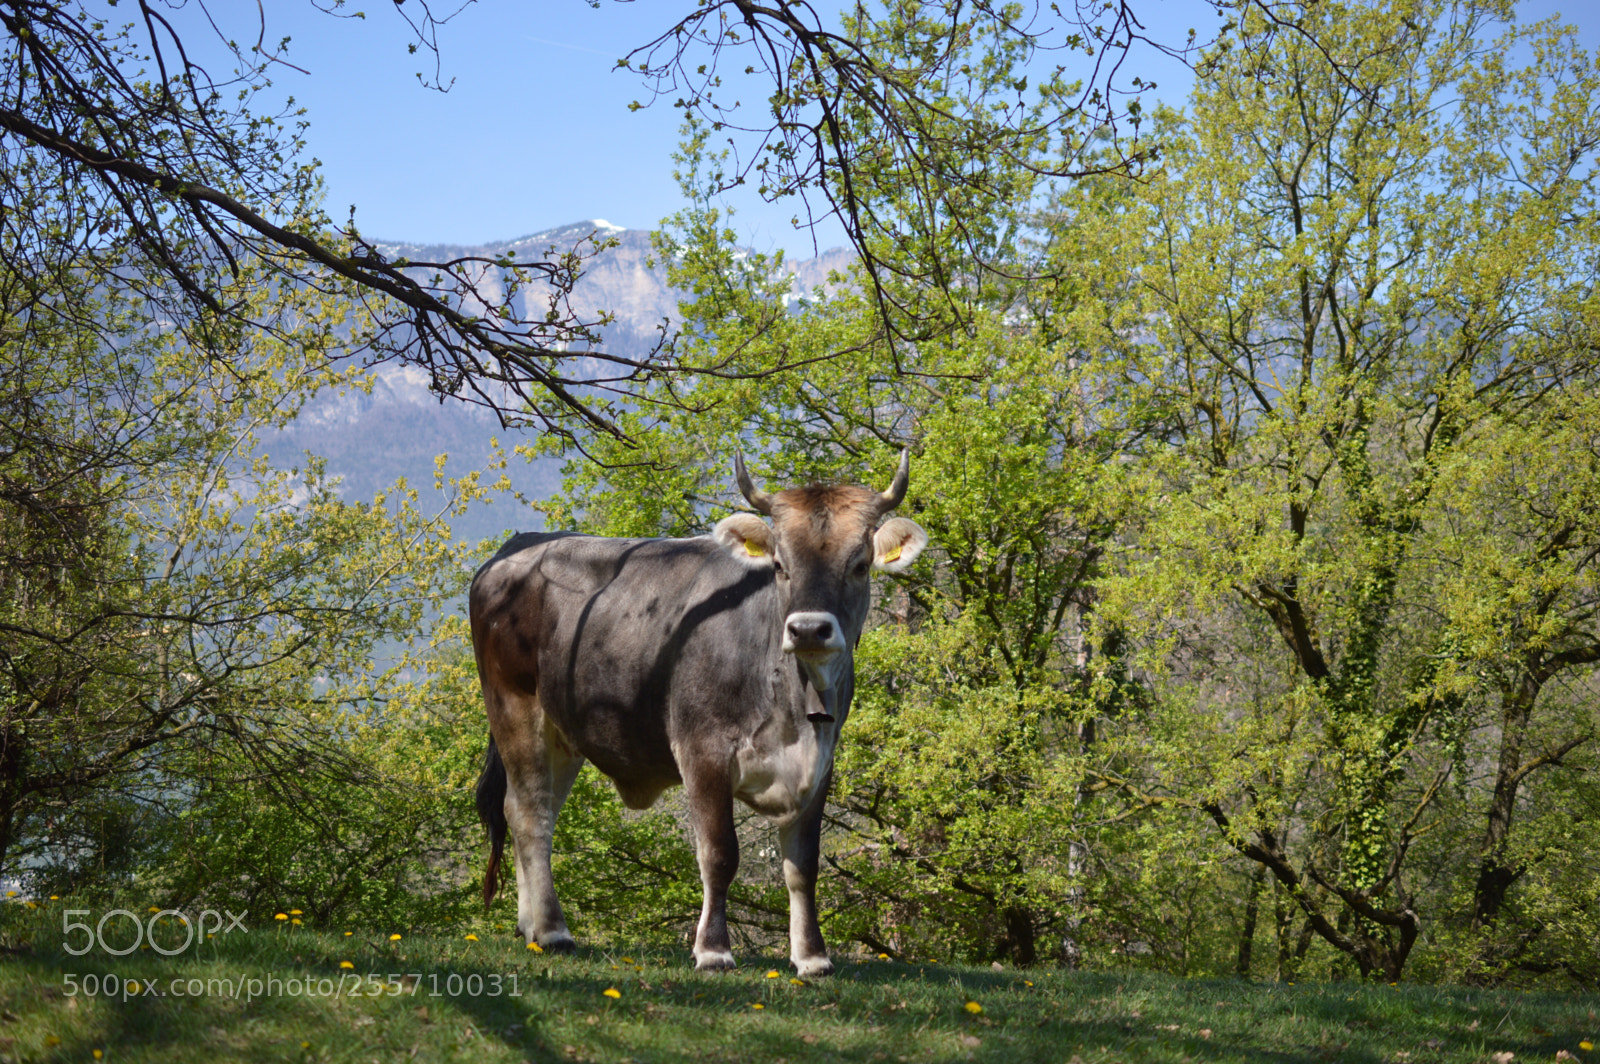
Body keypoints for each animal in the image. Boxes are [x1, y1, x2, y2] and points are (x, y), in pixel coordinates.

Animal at [470, 451, 929, 976]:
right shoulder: (702, 752)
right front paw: (712, 949)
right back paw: (552, 930)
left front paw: (812, 956)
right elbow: (719, 853)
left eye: (859, 564)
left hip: (564, 733)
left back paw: (531, 927)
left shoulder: (820, 765)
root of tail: (519, 545)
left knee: (533, 810)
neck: (793, 703)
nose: (809, 628)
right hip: (515, 705)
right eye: (779, 565)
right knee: (529, 812)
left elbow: (803, 866)